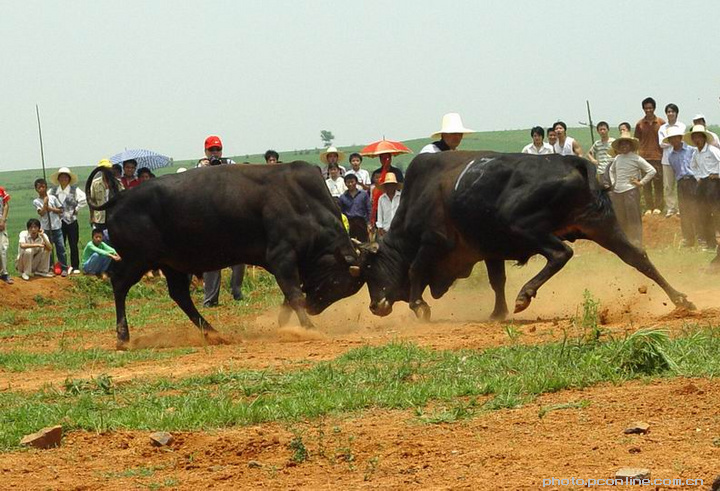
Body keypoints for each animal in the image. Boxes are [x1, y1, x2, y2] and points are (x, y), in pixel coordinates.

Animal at [86, 162, 362, 350]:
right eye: (336, 281)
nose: (314, 309)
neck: (302, 202)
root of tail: (120, 196)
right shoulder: (281, 258)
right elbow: (294, 294)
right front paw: (308, 328)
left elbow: (290, 295)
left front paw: (286, 323)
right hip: (136, 260)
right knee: (119, 284)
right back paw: (123, 337)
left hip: (171, 264)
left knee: (180, 295)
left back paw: (213, 333)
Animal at [362, 152, 696, 320]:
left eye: (369, 269)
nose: (375, 306)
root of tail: (571, 160)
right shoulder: (490, 250)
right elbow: (497, 281)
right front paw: (498, 313)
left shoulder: (433, 241)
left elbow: (415, 269)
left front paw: (420, 307)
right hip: (602, 226)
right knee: (637, 256)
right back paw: (680, 299)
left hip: (524, 225)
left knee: (560, 253)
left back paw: (526, 294)